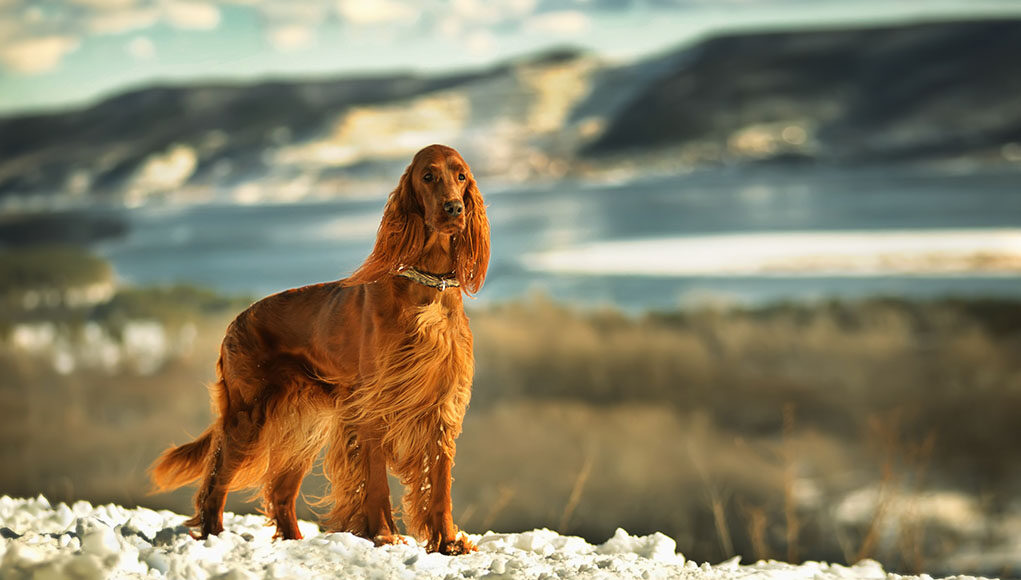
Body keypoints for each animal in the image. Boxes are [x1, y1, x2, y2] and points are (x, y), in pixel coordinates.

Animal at [149, 143, 488, 551]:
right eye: (428, 176)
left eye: (461, 176)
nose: (454, 208)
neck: (429, 289)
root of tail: (235, 322)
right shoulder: (372, 407)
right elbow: (376, 482)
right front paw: (384, 535)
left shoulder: (440, 406)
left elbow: (439, 485)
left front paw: (448, 543)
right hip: (248, 417)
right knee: (215, 482)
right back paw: (214, 538)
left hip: (302, 427)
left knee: (280, 493)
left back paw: (293, 541)